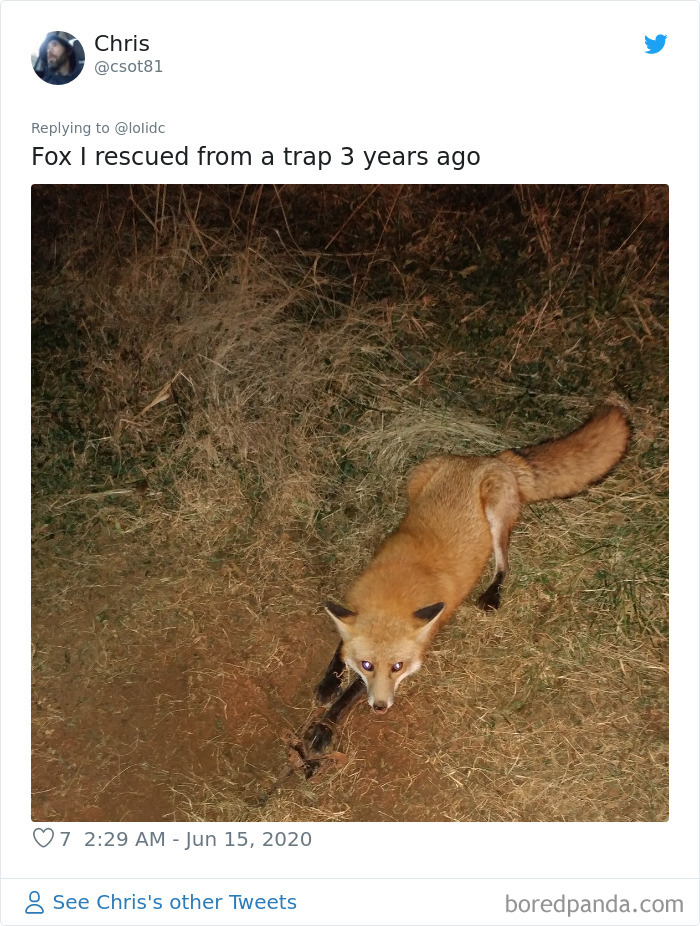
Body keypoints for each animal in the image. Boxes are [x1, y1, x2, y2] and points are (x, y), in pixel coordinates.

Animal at [305, 405, 630, 754]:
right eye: (367, 665)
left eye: (398, 667)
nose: (380, 707)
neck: (394, 592)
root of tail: (492, 458)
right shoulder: (357, 606)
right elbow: (340, 647)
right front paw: (329, 683)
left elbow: (350, 695)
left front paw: (325, 726)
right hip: (415, 480)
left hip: (495, 516)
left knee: (504, 564)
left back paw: (492, 595)